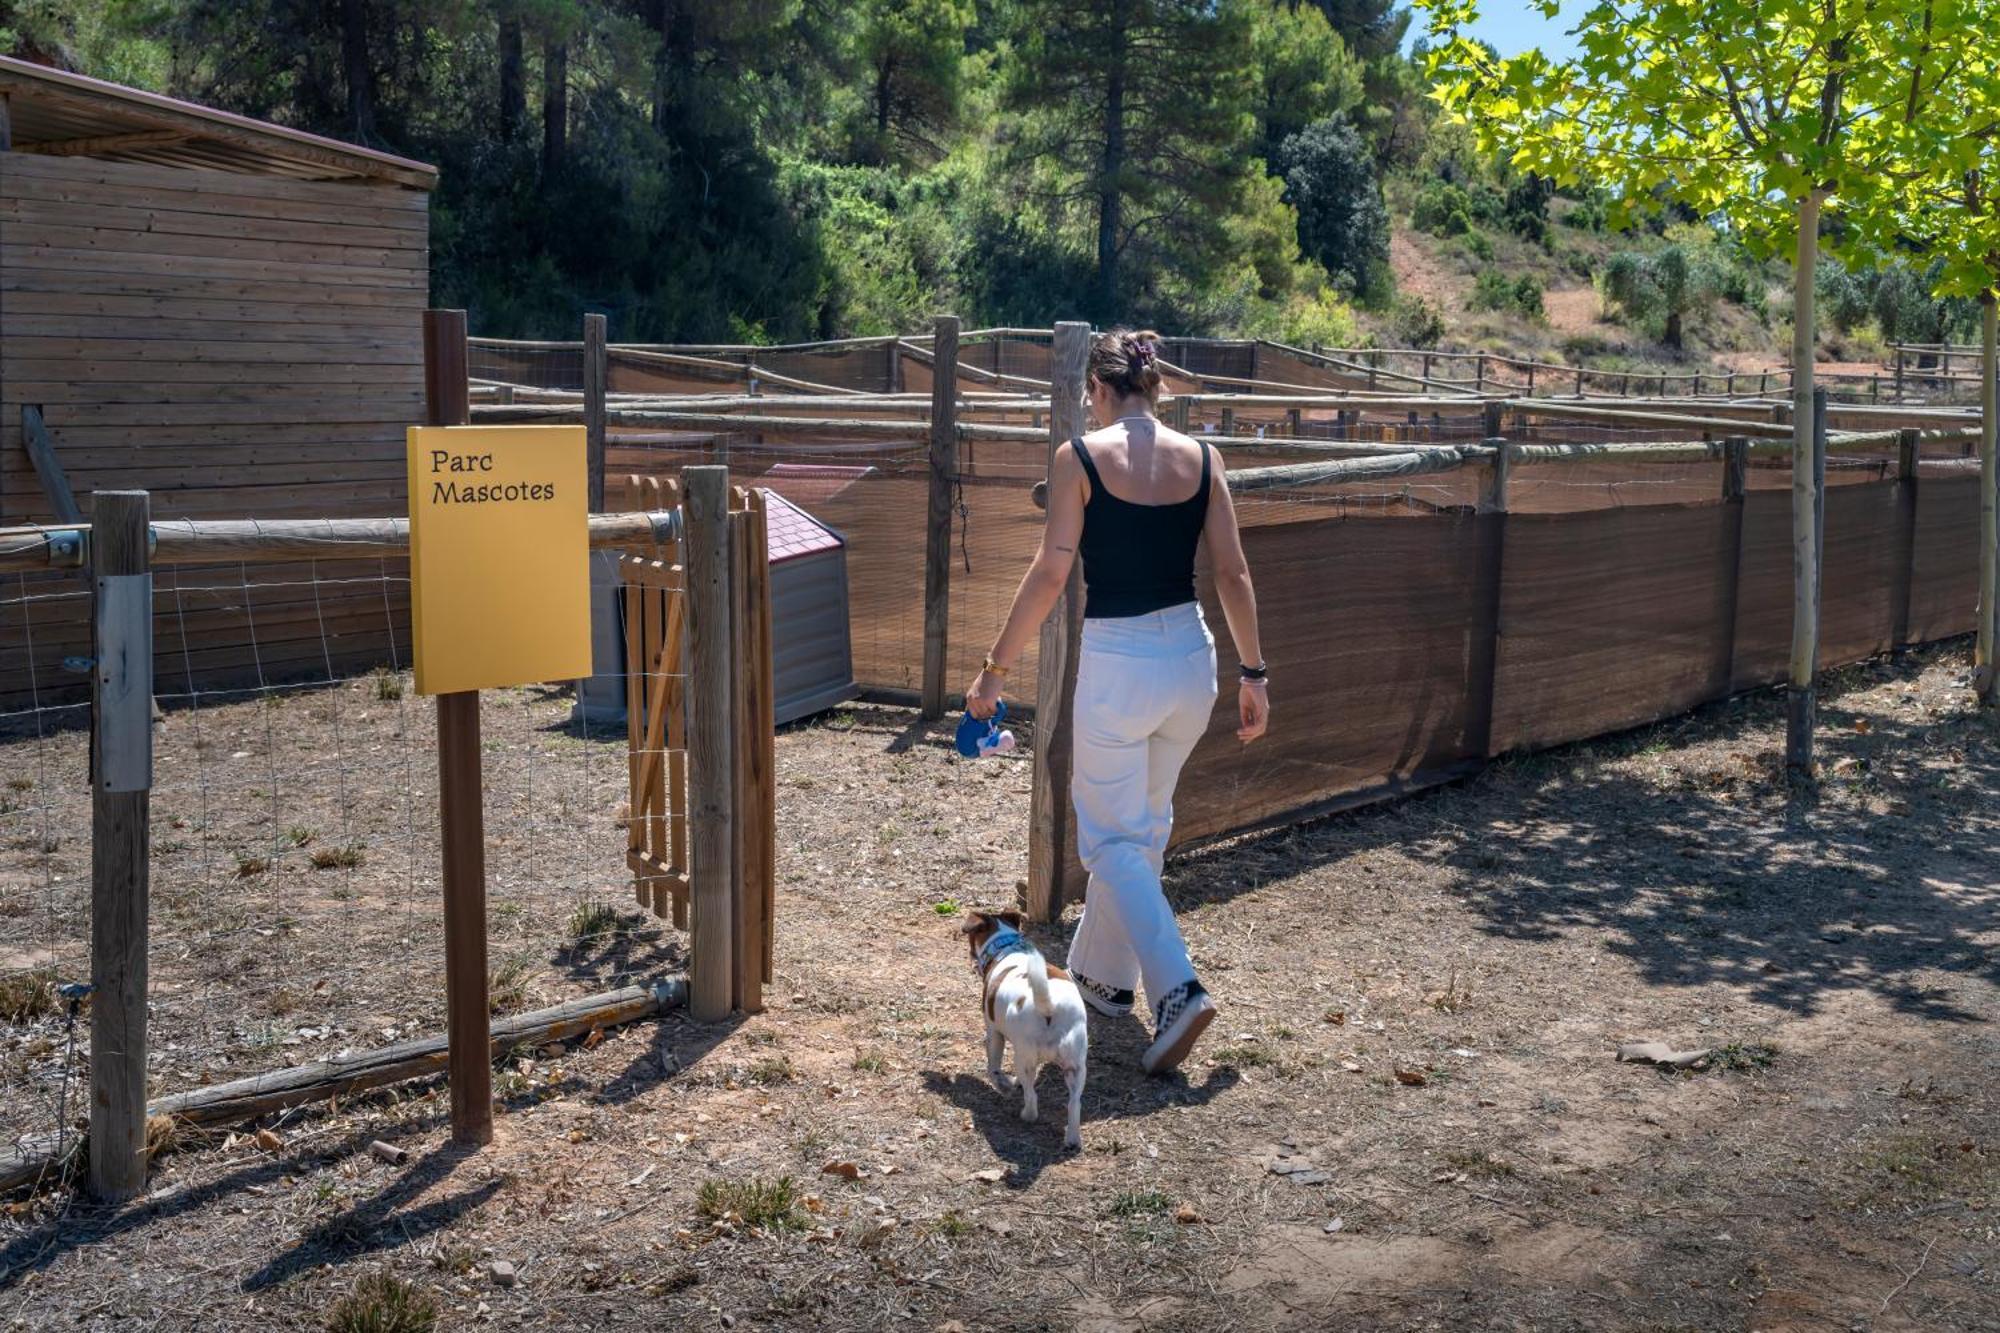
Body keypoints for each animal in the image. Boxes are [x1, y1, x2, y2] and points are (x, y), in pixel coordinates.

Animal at [960, 908, 1088, 1144]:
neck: (1006, 947)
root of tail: (1048, 1005)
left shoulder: (994, 1032)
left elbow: (993, 1068)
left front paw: (1004, 1085)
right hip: (1075, 1066)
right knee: (1074, 1104)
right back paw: (1072, 1139)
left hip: (1024, 1058)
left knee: (1032, 1096)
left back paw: (1027, 1115)